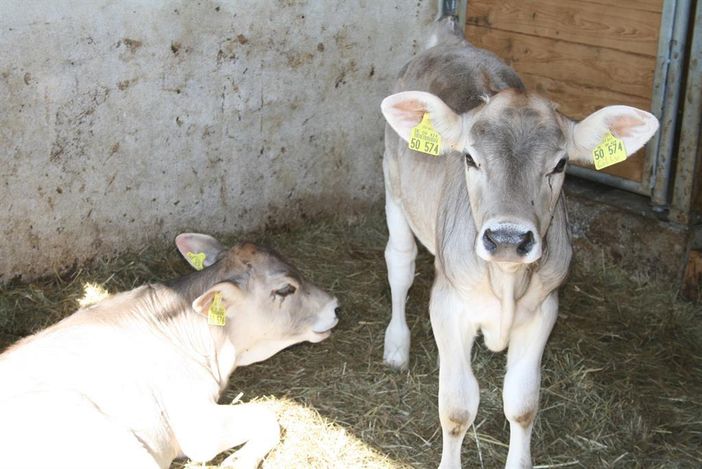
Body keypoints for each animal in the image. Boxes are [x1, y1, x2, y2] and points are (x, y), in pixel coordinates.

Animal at [380, 18, 660, 468]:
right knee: (400, 263)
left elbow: (523, 403)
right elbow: (456, 408)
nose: (508, 238)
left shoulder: (544, 310)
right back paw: (396, 347)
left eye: (560, 165)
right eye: (470, 158)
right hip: (393, 184)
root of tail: (452, 40)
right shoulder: (448, 306)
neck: (507, 279)